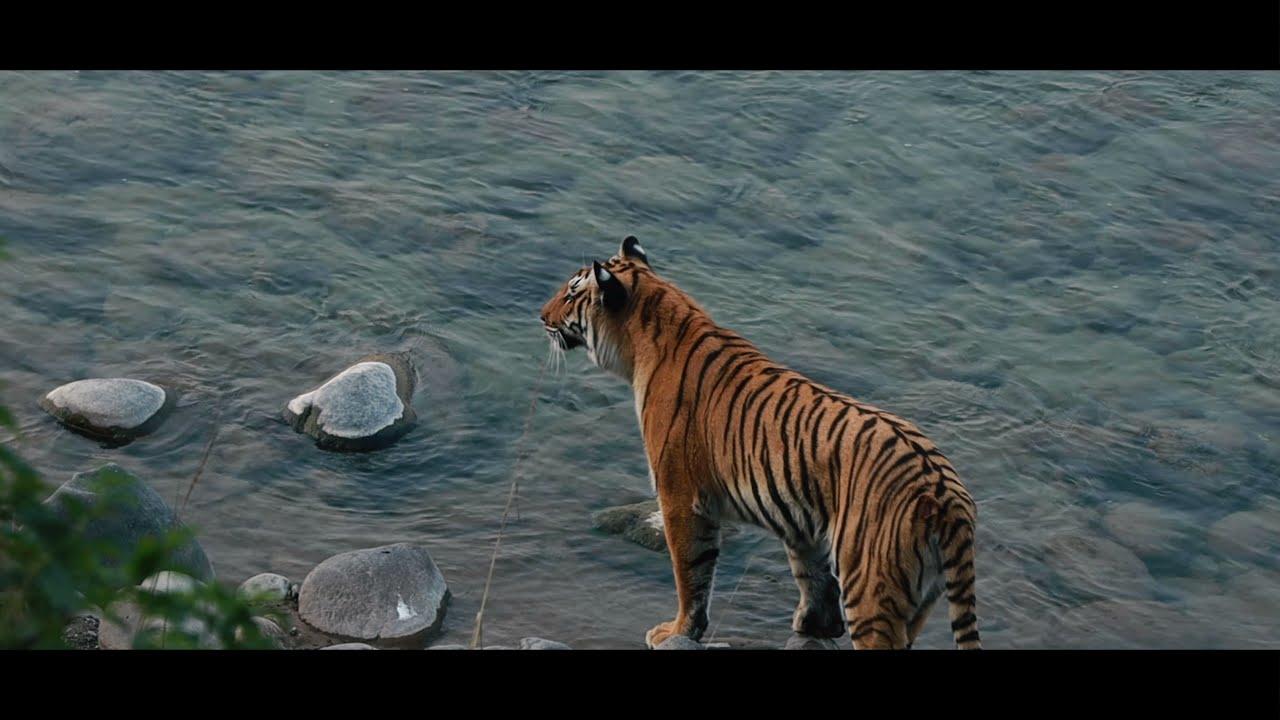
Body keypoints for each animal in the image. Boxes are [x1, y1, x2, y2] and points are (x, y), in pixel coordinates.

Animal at [540, 236, 982, 650]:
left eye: (571, 293)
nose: (541, 316)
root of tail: (946, 492)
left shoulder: (679, 497)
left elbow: (691, 575)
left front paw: (677, 631)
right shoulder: (804, 522)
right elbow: (811, 574)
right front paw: (816, 625)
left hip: (869, 584)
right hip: (920, 596)